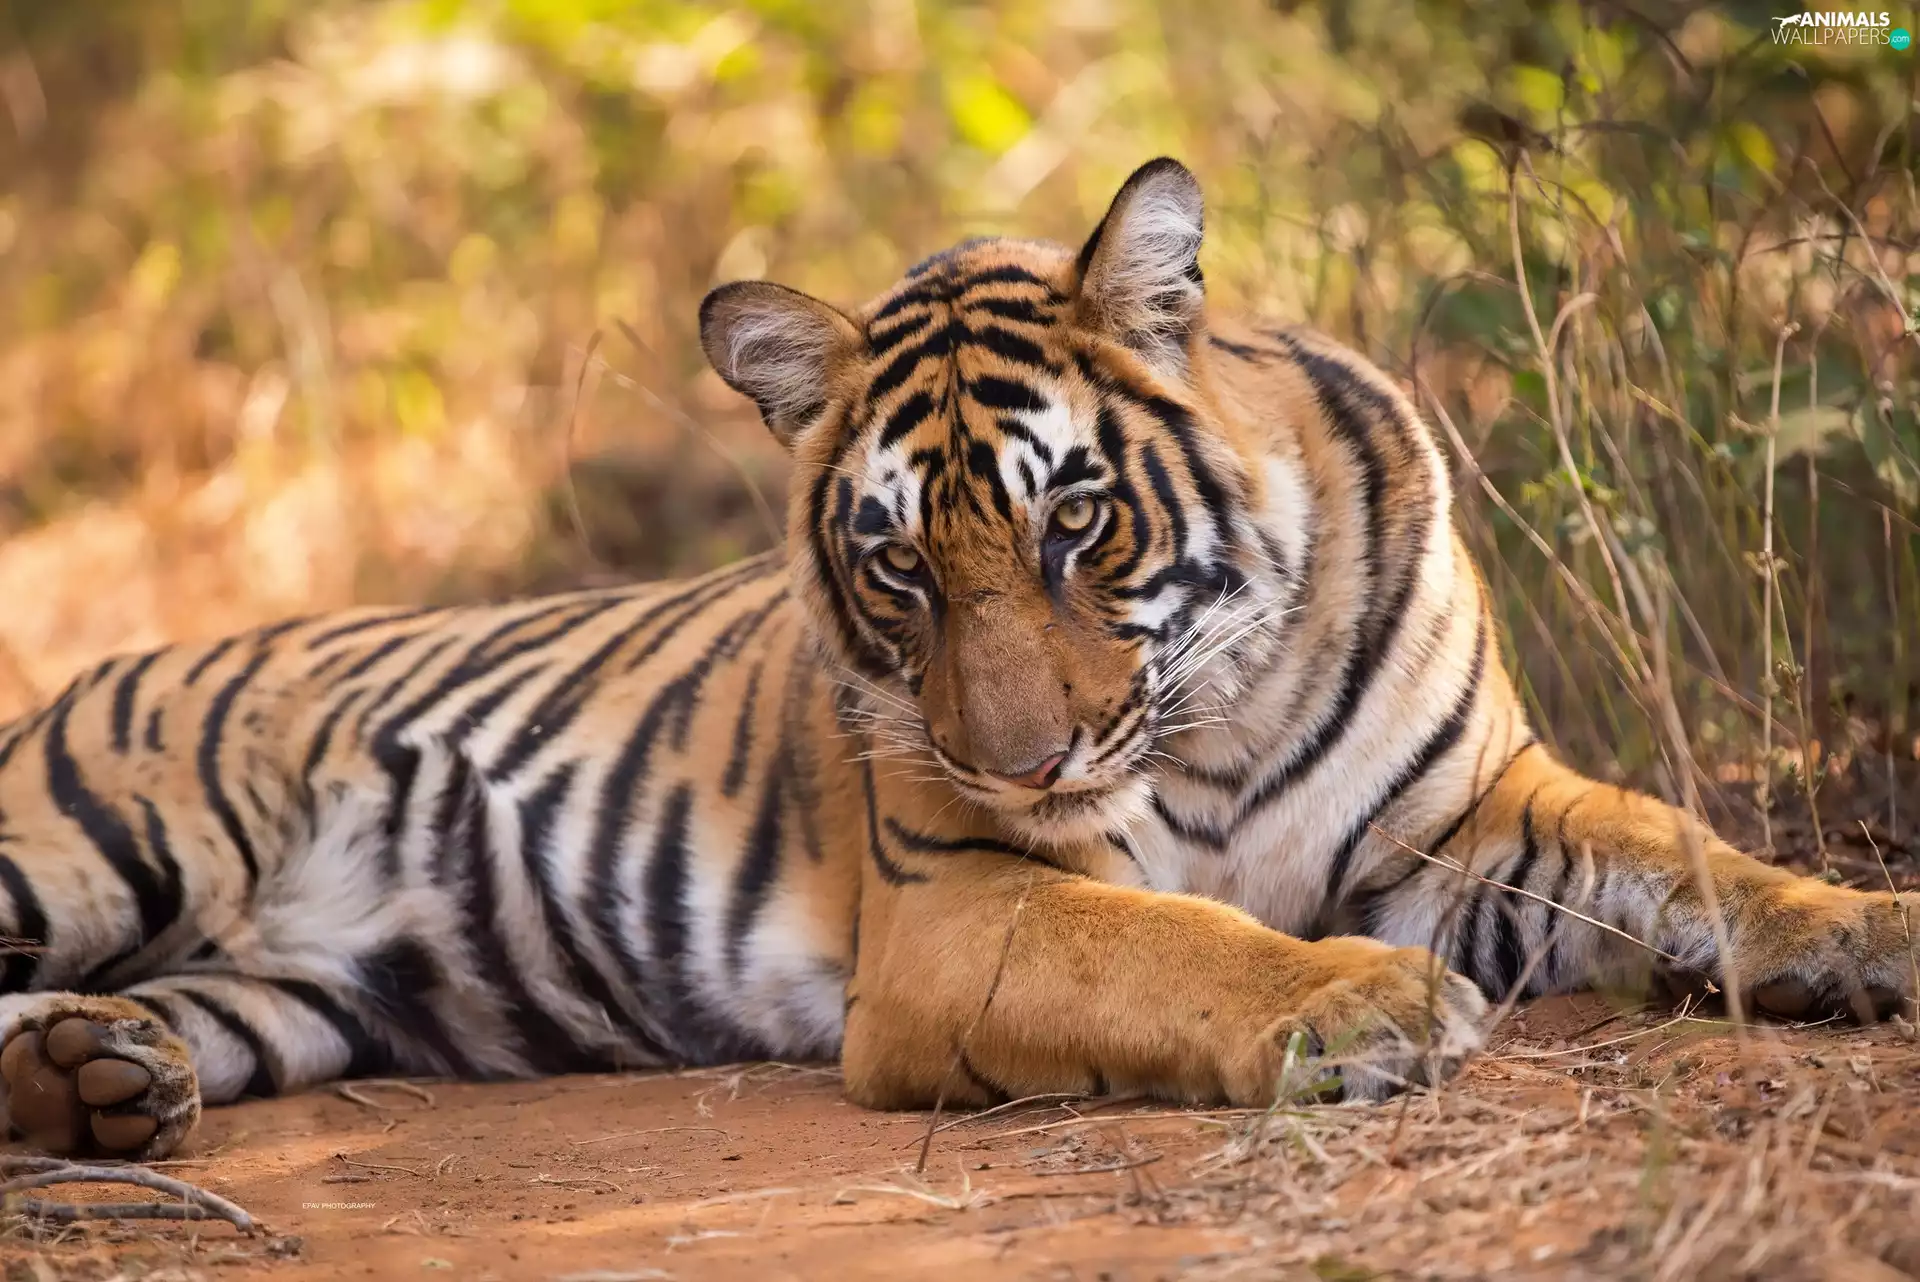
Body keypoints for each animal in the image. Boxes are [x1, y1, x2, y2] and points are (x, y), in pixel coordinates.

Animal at [0, 158, 1911, 1162]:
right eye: (899, 564)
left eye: (1075, 520)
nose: (1016, 761)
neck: (1224, 708)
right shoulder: (960, 905)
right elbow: (1180, 944)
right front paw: (1361, 1004)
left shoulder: (1473, 817)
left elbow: (1688, 853)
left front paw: (1867, 929)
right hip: (88, 843)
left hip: (299, 991)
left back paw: (98, 1076)